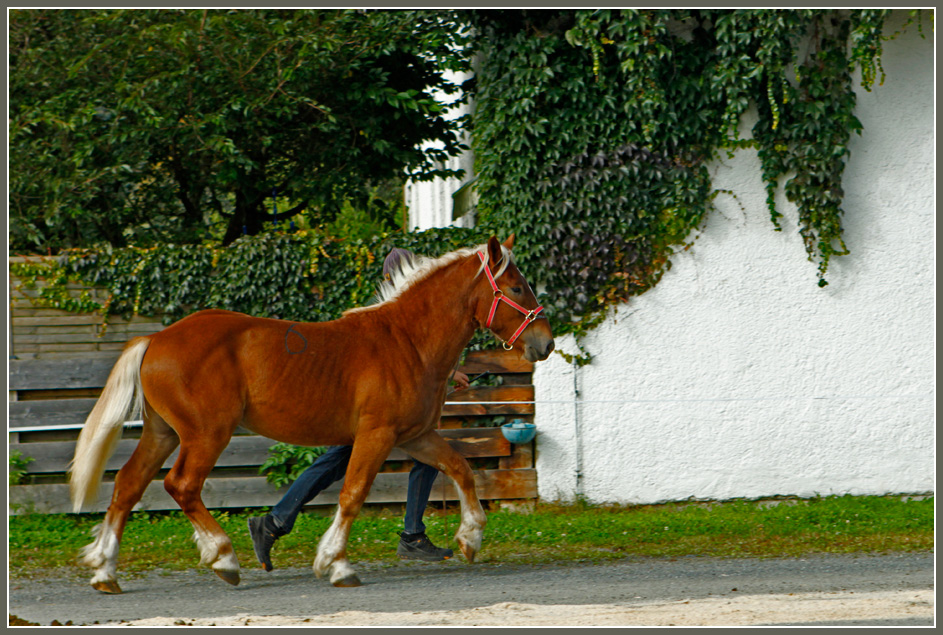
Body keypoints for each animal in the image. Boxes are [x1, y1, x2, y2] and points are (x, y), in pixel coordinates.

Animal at [72, 236, 552, 592]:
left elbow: (461, 468)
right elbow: (353, 494)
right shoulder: (377, 435)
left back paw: (105, 570)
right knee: (181, 485)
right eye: (516, 288)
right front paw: (336, 564)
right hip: (206, 434)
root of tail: (156, 339)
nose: (545, 343)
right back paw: (223, 558)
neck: (407, 341)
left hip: (164, 433)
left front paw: (470, 537)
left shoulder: (415, 435)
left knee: (128, 485)